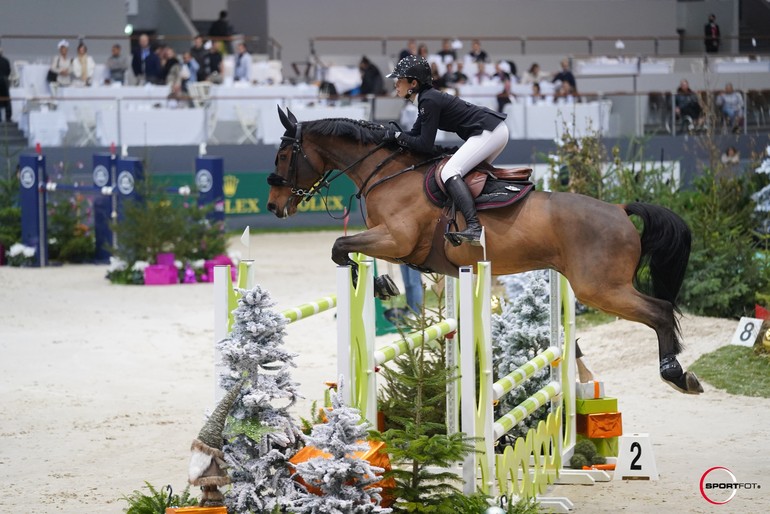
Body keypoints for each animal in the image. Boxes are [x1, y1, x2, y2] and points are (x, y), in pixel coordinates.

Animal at [266, 107, 704, 392]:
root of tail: (619, 208)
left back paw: (676, 374)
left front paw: (377, 286)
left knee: (660, 311)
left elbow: (341, 247)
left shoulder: (395, 238)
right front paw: (382, 287)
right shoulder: (396, 244)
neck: (388, 173)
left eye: (284, 155)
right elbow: (351, 251)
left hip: (600, 288)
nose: (273, 206)